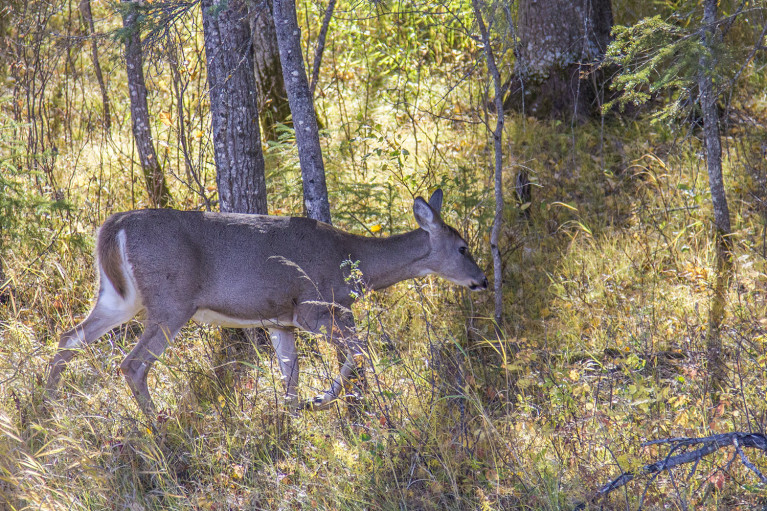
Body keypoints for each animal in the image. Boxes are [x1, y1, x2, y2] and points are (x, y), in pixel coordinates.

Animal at [46, 190, 486, 418]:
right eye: (463, 248)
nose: (481, 281)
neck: (354, 262)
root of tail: (114, 225)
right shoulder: (315, 308)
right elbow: (361, 351)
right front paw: (320, 399)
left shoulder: (279, 321)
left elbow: (290, 375)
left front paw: (294, 414)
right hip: (171, 302)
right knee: (132, 364)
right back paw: (158, 424)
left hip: (118, 297)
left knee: (70, 337)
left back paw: (45, 406)